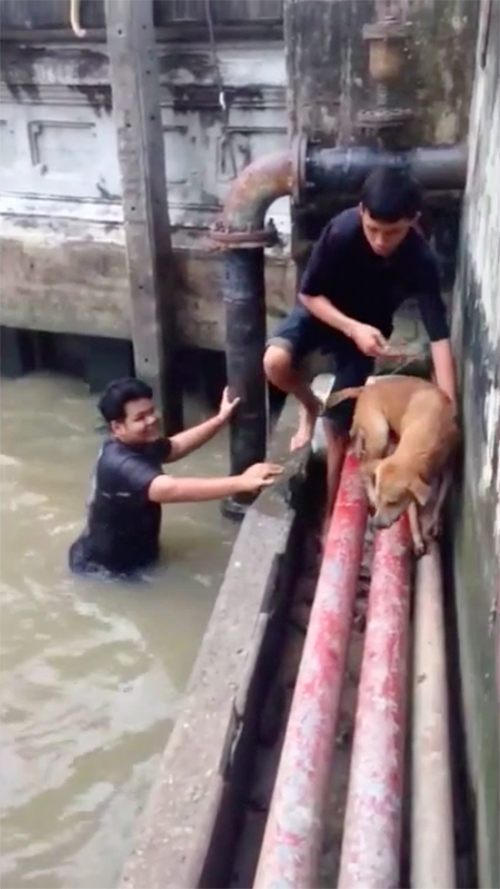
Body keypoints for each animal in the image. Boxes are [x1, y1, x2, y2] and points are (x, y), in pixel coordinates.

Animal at [324, 374, 460, 556]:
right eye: (385, 501)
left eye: (392, 503)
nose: (375, 525)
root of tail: (364, 388)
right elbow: (412, 512)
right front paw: (417, 539)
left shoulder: (448, 469)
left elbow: (441, 498)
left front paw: (436, 522)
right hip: (379, 431)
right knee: (364, 467)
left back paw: (359, 447)